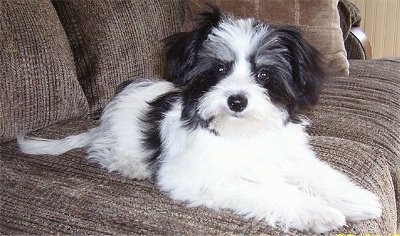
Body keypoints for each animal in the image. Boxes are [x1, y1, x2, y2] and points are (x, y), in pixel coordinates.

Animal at [19, 7, 382, 234]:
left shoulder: (287, 155)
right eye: (219, 69)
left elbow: (320, 175)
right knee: (104, 151)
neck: (242, 133)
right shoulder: (199, 176)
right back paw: (131, 165)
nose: (237, 100)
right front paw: (316, 211)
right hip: (119, 140)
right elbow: (267, 190)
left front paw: (357, 199)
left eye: (264, 74)